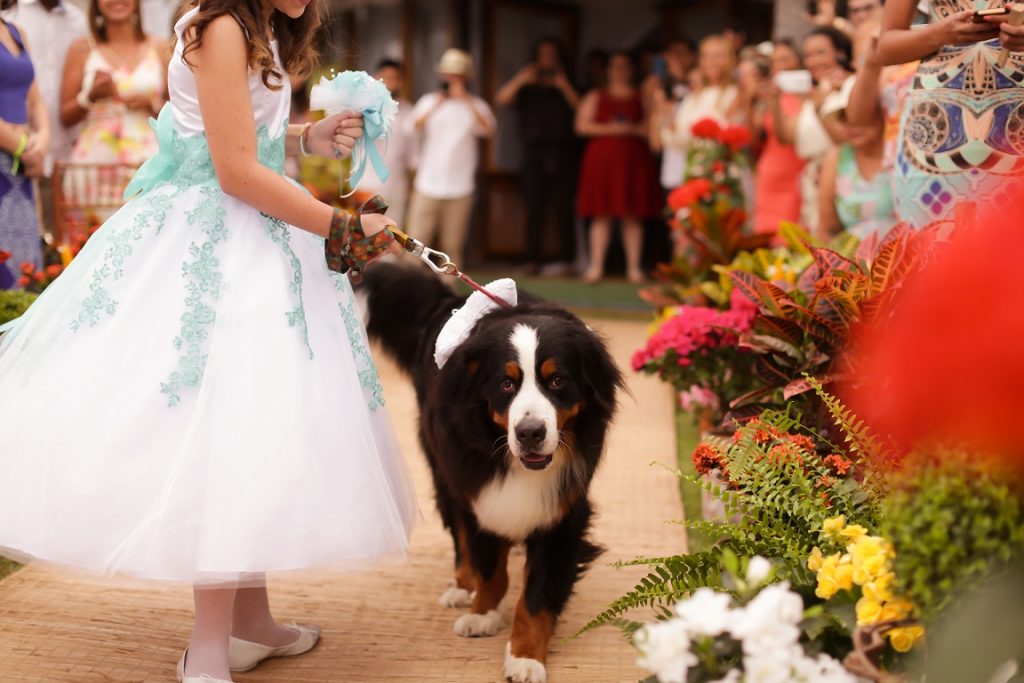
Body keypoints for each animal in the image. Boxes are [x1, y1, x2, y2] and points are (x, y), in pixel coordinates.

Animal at [356, 264, 618, 683]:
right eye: (506, 383)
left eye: (557, 380)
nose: (530, 433)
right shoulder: (475, 488)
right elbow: (488, 564)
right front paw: (483, 613)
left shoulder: (564, 510)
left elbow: (537, 595)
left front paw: (525, 655)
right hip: (443, 469)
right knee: (461, 537)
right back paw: (462, 587)